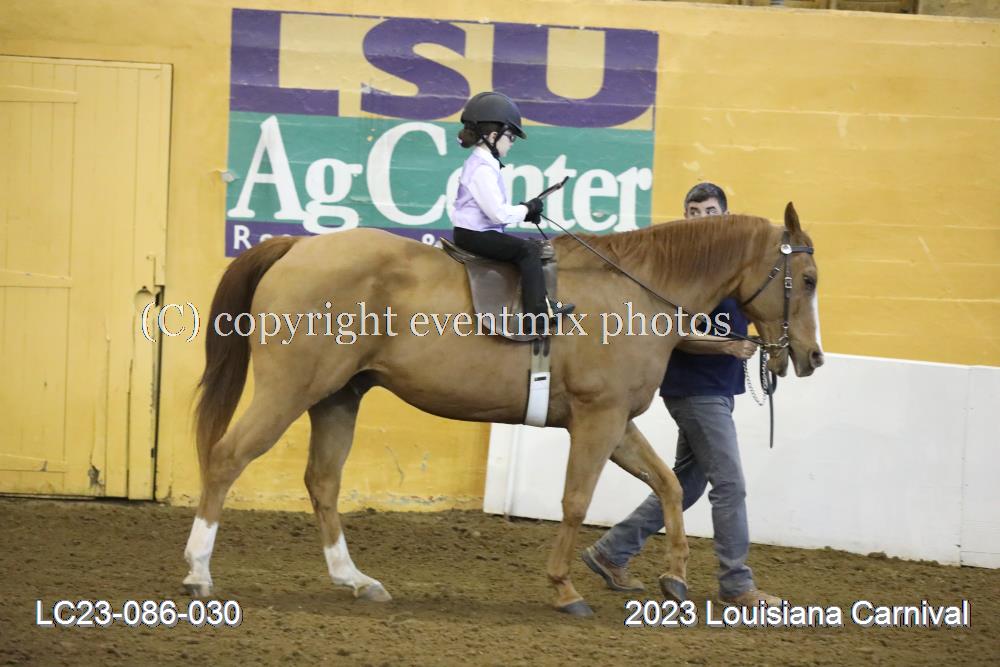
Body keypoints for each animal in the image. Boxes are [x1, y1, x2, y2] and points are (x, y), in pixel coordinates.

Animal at [182, 203, 823, 617]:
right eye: (810, 277)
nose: (812, 356)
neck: (637, 292)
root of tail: (300, 246)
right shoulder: (598, 419)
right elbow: (575, 500)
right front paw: (564, 588)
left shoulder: (617, 422)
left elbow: (666, 483)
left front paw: (674, 577)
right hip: (289, 389)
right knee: (227, 457)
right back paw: (198, 571)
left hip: (337, 397)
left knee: (322, 481)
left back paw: (355, 579)